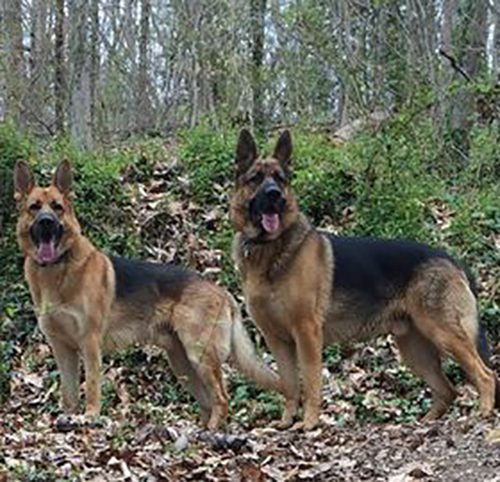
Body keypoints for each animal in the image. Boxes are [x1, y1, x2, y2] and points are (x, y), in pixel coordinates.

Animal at [13, 159, 280, 430]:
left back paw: (212, 431)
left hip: (199, 355)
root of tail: (222, 291)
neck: (57, 270)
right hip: (183, 364)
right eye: (34, 207)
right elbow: (69, 393)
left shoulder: (89, 343)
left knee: (222, 398)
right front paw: (68, 418)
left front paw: (90, 416)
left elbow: (91, 386)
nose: (46, 222)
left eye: (57, 207)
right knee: (208, 402)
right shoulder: (61, 348)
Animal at [230, 130, 500, 432]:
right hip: (415, 349)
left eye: (279, 179)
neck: (270, 248)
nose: (274, 195)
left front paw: (309, 423)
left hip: (444, 333)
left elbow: (310, 382)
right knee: (447, 390)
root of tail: (452, 259)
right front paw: (287, 421)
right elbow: (289, 385)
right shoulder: (277, 340)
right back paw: (425, 422)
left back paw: (483, 411)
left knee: (485, 374)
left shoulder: (307, 333)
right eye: (255, 178)